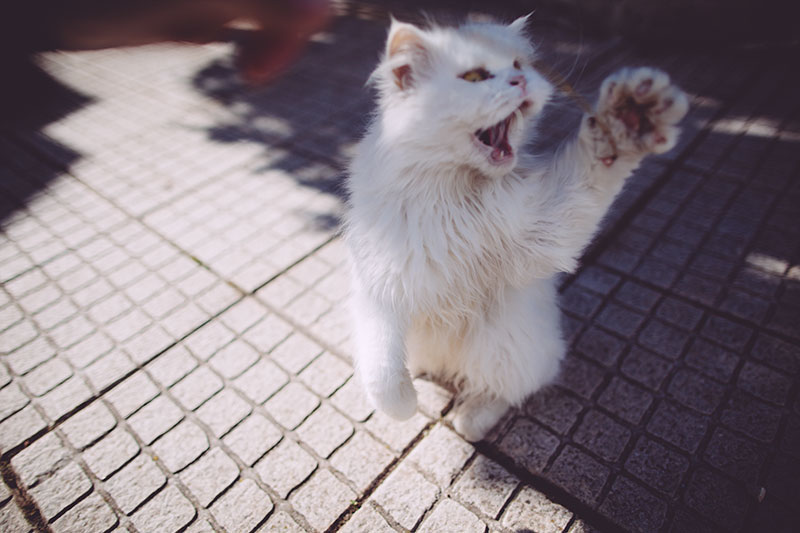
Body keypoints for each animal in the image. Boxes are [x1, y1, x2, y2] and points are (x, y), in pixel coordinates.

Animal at [344, 16, 688, 440]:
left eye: (519, 66)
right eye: (475, 77)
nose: (520, 81)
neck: (451, 192)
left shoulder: (545, 224)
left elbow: (597, 161)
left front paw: (632, 117)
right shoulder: (379, 291)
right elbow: (384, 376)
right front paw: (407, 405)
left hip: (504, 343)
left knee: (505, 390)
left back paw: (468, 422)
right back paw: (424, 376)